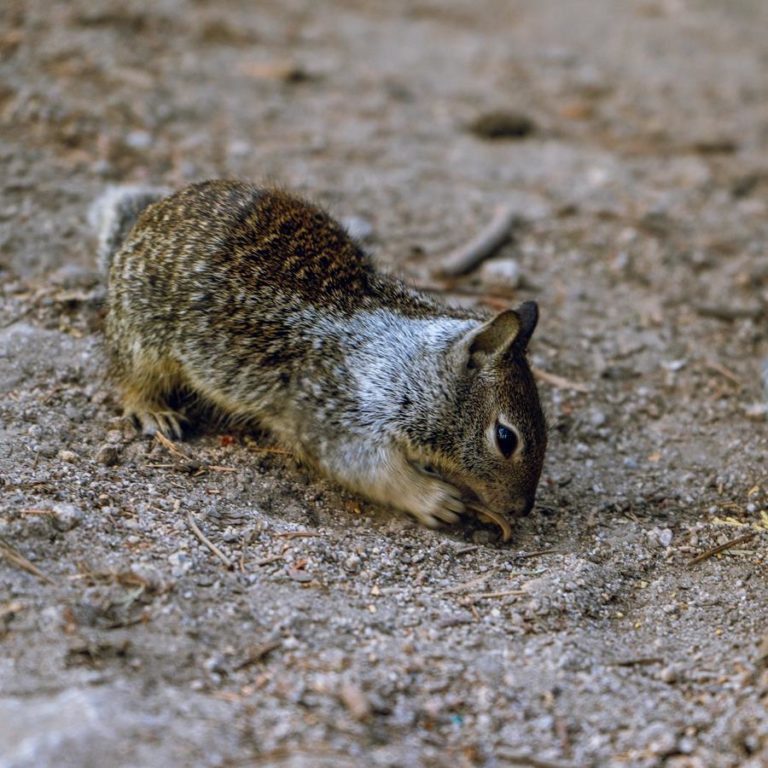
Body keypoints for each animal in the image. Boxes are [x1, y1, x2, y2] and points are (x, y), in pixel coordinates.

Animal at [91, 182, 544, 540]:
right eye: (506, 438)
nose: (522, 508)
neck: (408, 362)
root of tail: (135, 232)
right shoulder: (338, 415)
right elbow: (369, 470)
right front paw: (434, 497)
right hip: (145, 342)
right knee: (127, 380)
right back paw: (154, 411)